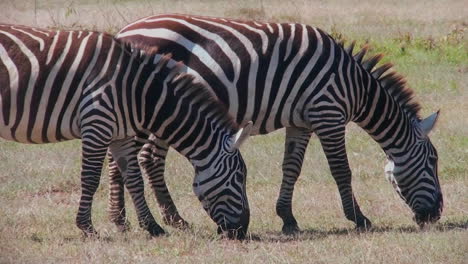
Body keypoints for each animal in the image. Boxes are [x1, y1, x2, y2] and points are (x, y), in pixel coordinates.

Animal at [0, 24, 252, 239]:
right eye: (239, 177)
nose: (242, 231)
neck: (140, 93)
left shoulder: (121, 135)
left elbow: (134, 178)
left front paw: (152, 227)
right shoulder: (97, 124)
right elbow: (91, 178)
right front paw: (87, 227)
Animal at [111, 14, 444, 233]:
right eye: (433, 160)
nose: (437, 214)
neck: (354, 87)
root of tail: (125, 31)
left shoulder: (302, 122)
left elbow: (291, 168)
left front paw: (288, 219)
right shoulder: (328, 113)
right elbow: (341, 170)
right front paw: (359, 219)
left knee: (144, 158)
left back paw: (159, 219)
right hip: (142, 108)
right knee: (125, 161)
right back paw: (129, 221)